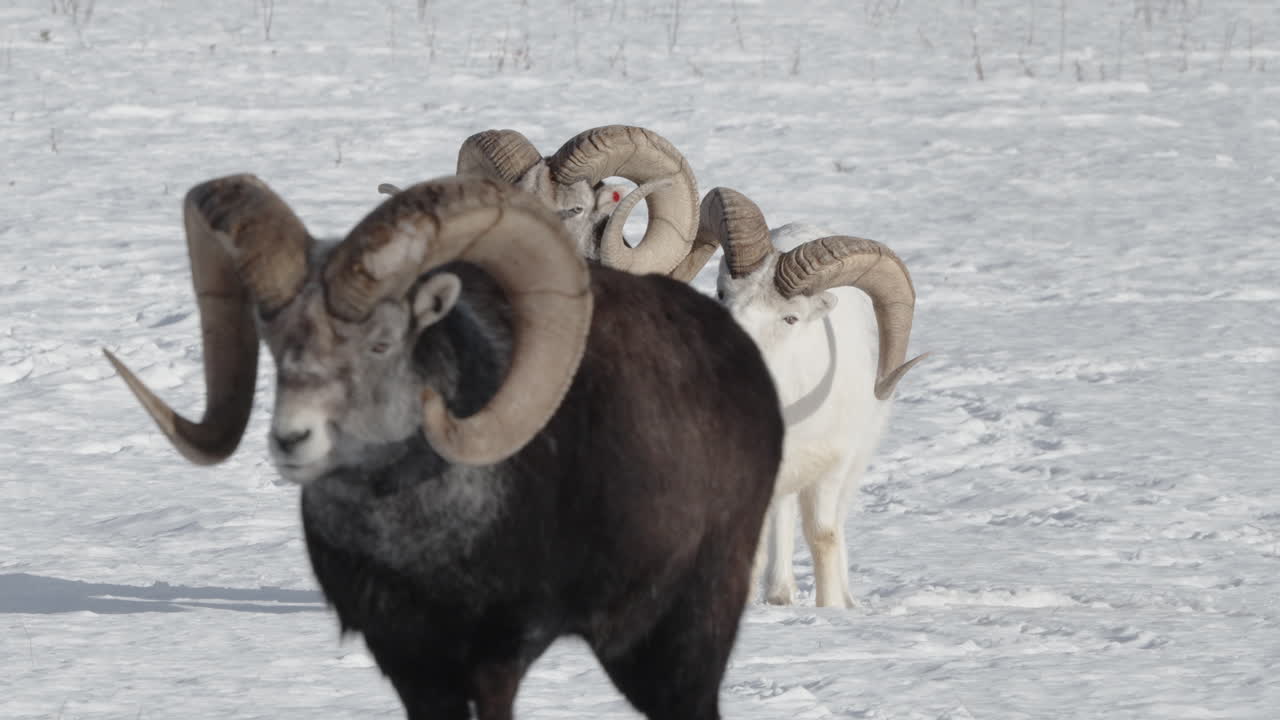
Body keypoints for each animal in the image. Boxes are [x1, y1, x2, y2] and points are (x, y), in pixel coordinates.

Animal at [103, 174, 783, 720]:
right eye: (275, 344)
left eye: (381, 343)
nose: (291, 438)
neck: (419, 543)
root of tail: (740, 359)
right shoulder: (411, 666)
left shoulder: (496, 657)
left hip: (674, 640)